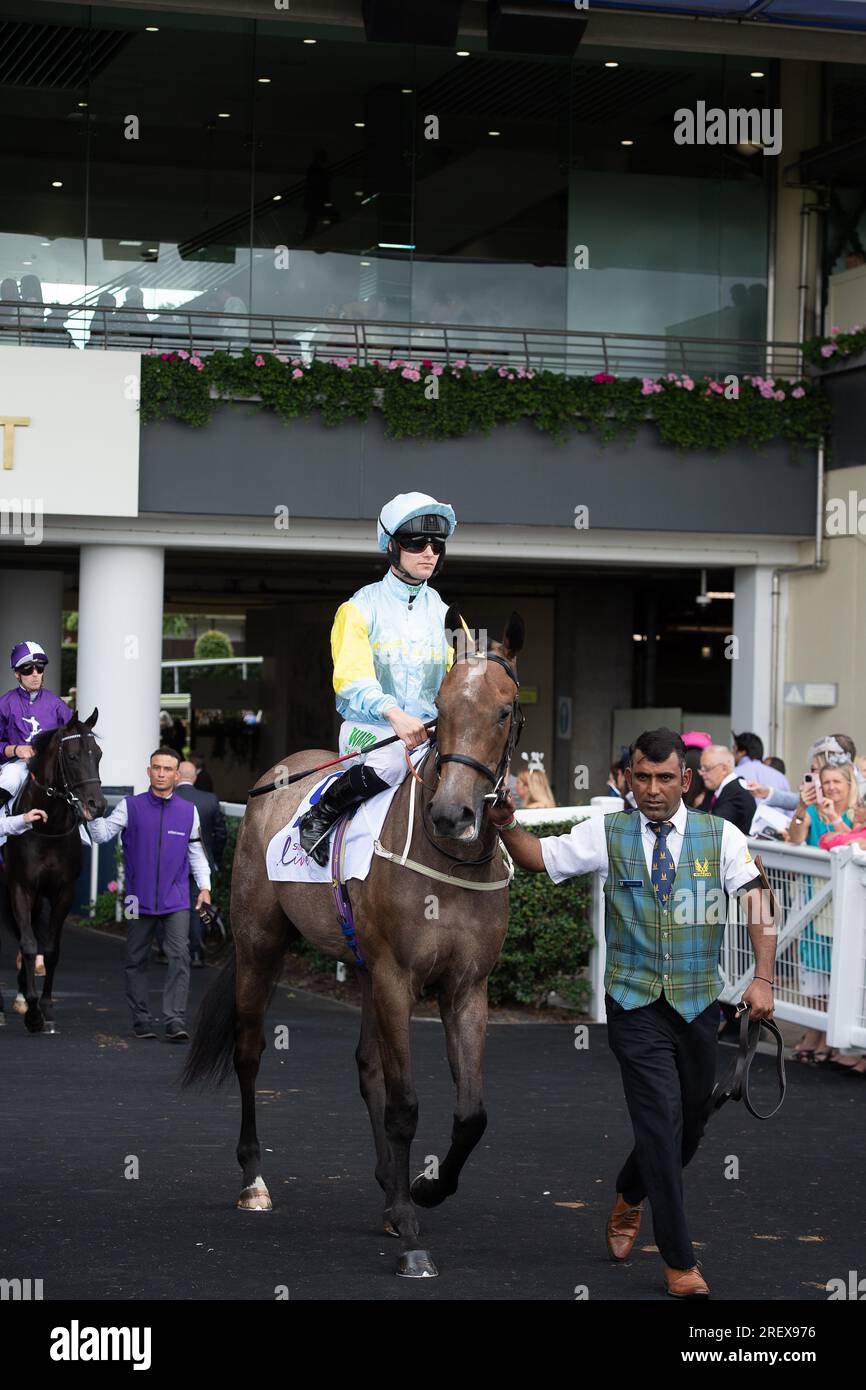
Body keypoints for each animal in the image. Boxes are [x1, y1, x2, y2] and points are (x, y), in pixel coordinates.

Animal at [0, 717, 105, 1034]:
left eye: (98, 754)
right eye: (71, 756)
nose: (98, 805)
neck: (47, 828)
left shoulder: (63, 891)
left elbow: (50, 949)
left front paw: (43, 1006)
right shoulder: (20, 887)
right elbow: (29, 944)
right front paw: (34, 1012)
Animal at [183, 614, 525, 1273]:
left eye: (503, 710)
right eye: (441, 707)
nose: (452, 815)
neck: (448, 862)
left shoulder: (465, 988)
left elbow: (470, 1114)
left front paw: (421, 1191)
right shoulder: (396, 977)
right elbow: (405, 1104)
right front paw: (413, 1232)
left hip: (362, 967)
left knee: (367, 1066)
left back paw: (389, 1193)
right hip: (261, 943)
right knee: (249, 1052)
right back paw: (254, 1181)